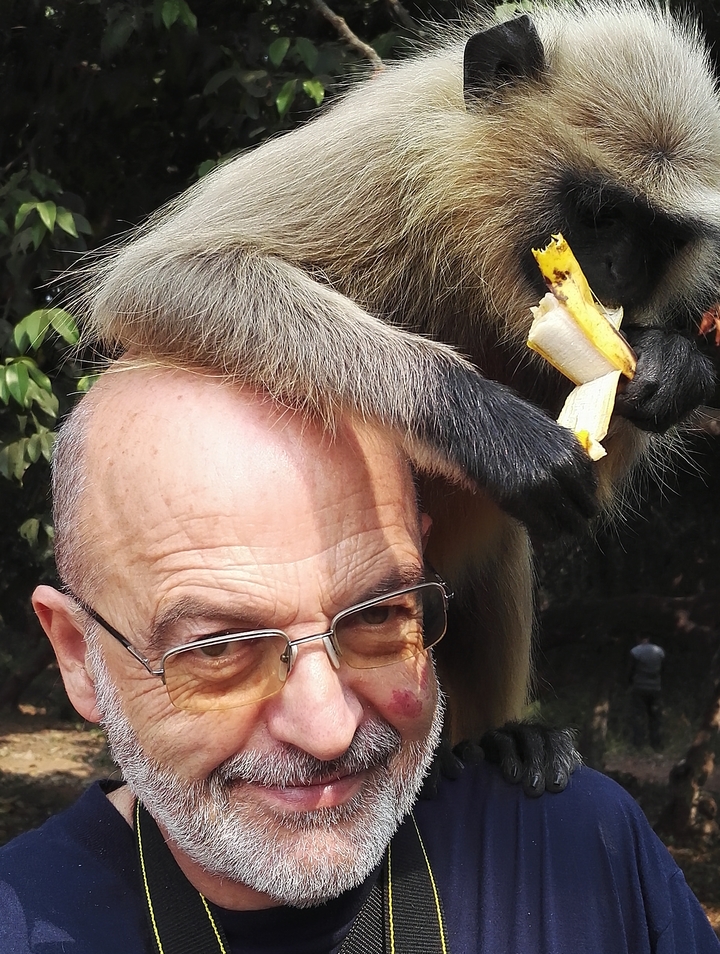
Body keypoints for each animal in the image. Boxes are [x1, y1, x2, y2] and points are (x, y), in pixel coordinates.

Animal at [76, 1, 718, 745]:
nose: (620, 273)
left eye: (659, 241)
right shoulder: (385, 155)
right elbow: (163, 277)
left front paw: (675, 366)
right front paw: (486, 423)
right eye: (601, 215)